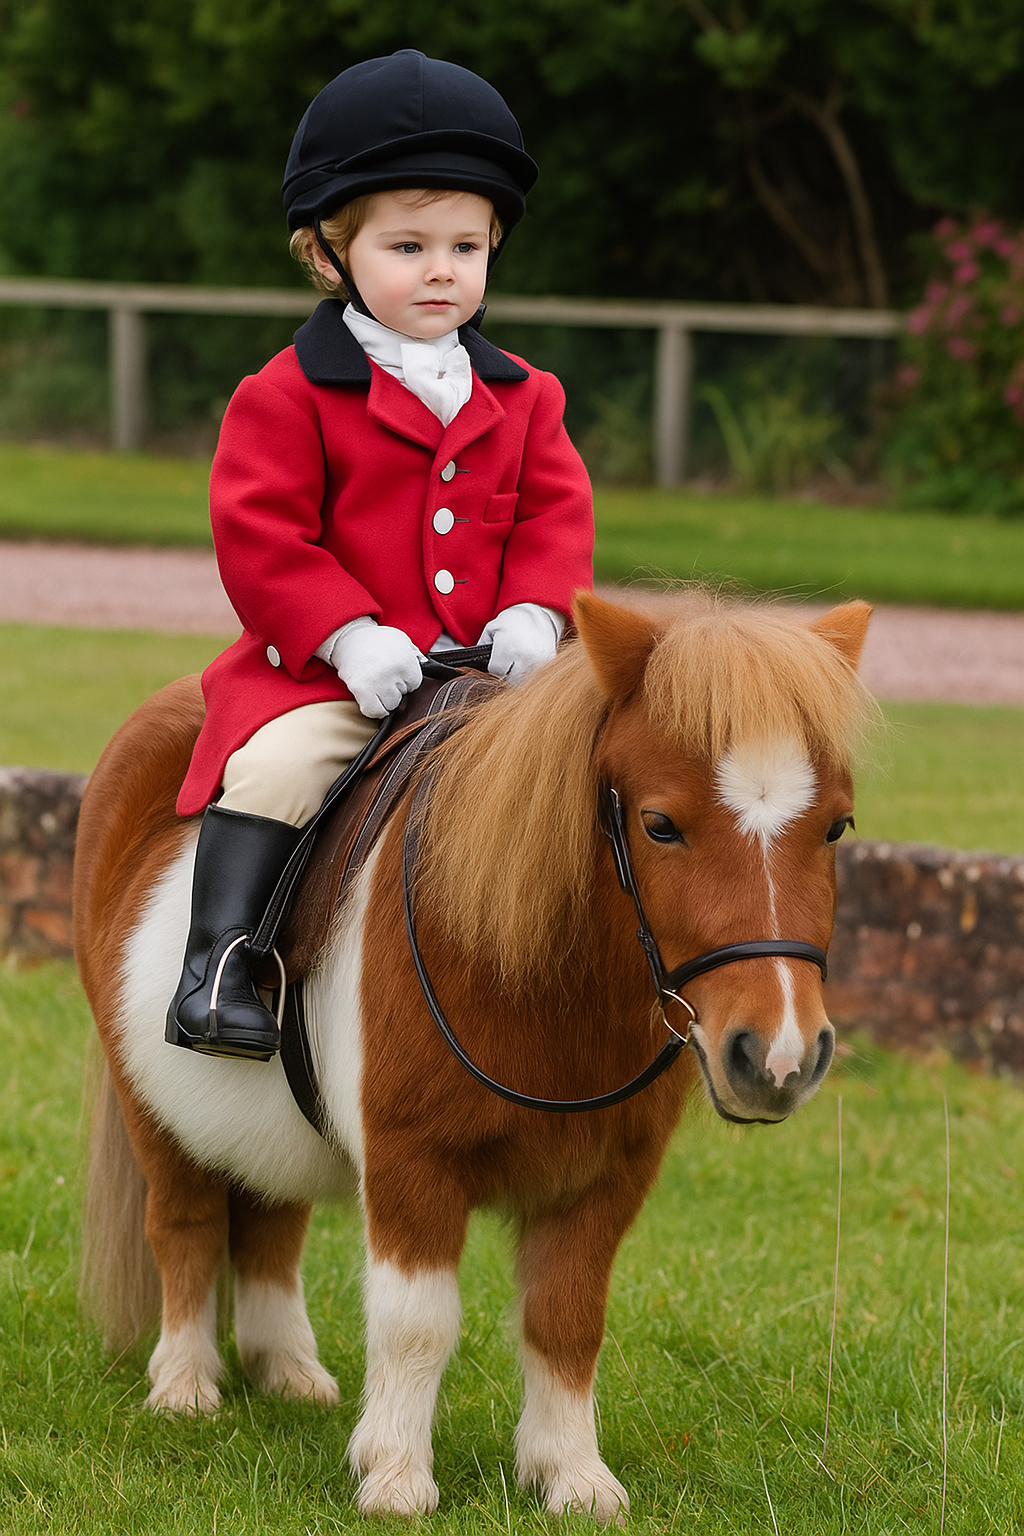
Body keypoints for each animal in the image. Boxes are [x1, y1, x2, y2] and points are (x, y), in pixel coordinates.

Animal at [75, 589, 872, 1522]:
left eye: (836, 826)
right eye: (660, 825)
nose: (777, 1055)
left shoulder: (605, 1181)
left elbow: (567, 1316)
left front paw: (571, 1475)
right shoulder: (412, 1163)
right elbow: (416, 1320)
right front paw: (394, 1475)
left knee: (271, 1221)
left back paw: (287, 1371)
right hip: (151, 1106)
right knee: (186, 1224)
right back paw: (185, 1382)